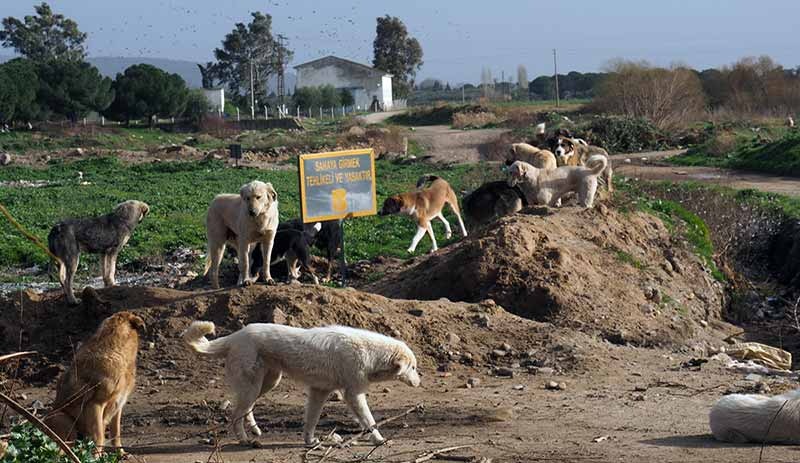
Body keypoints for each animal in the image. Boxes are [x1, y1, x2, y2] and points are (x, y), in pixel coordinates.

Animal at [43, 310, 145, 454]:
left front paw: (120, 454)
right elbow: (99, 437)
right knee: (60, 448)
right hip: (63, 420)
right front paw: (95, 456)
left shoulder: (118, 405)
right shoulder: (95, 405)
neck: (116, 349)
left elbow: (116, 434)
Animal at [184, 322, 422, 446]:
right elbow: (369, 420)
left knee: (245, 410)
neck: (370, 353)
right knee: (234, 415)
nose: (420, 382)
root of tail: (235, 335)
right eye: (412, 367)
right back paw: (244, 439)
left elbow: (311, 421)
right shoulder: (353, 395)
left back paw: (256, 431)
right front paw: (378, 439)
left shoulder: (320, 392)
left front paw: (310, 441)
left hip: (267, 383)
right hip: (253, 386)